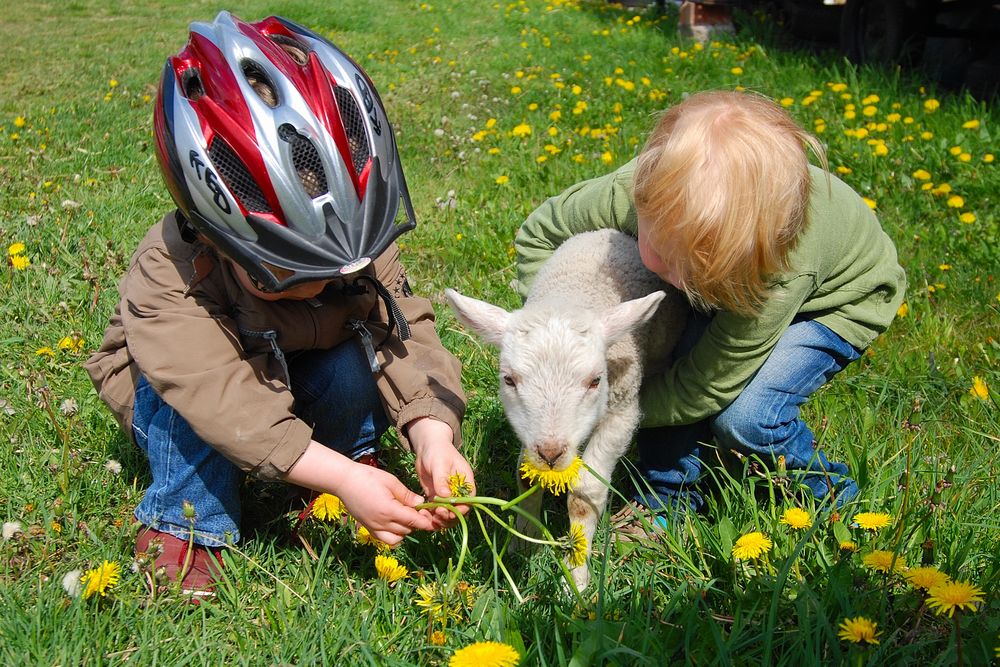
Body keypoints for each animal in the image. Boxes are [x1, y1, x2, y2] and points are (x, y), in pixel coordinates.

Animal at [446, 228, 688, 588]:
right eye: (508, 379)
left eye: (596, 381)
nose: (551, 453)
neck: (572, 293)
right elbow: (526, 479)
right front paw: (523, 544)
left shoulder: (621, 411)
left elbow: (585, 494)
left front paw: (576, 575)